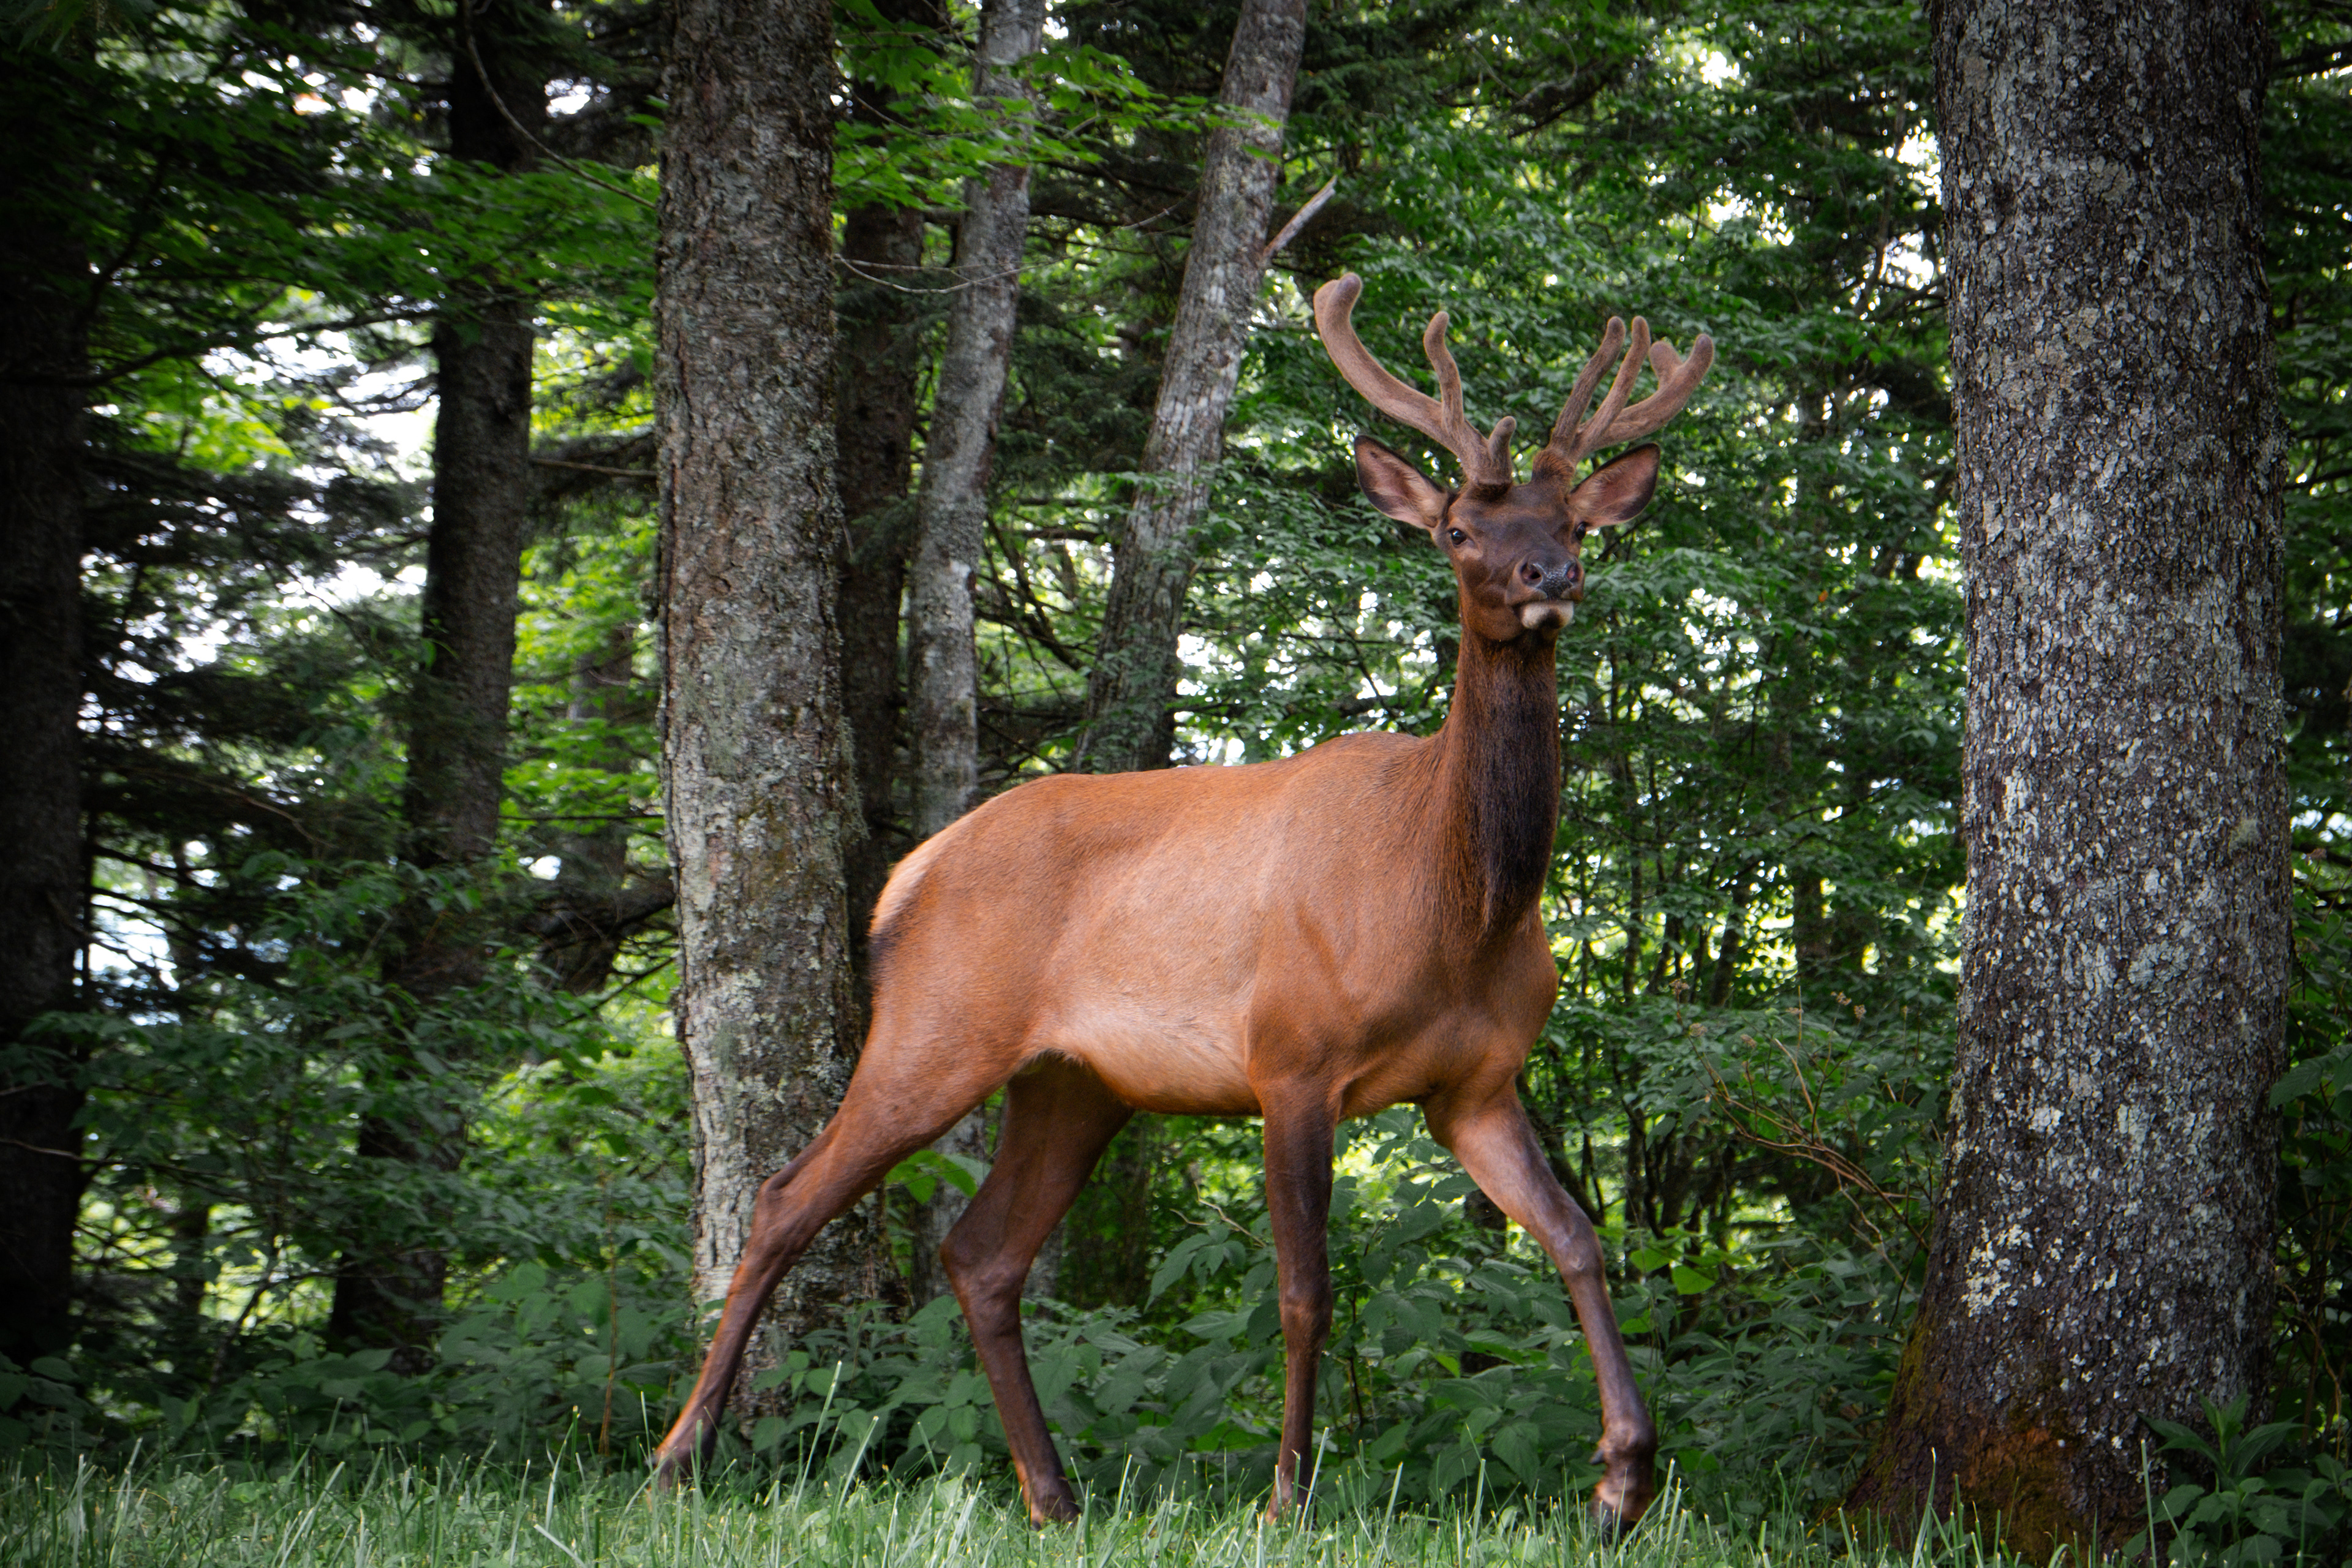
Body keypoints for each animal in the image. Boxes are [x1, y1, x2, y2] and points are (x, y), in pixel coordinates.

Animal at [650, 271, 1713, 1529]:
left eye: (1575, 524)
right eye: (1461, 529)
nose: (1550, 579)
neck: (1452, 907)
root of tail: (911, 875)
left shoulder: (1477, 1085)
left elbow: (1581, 1242)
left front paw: (1622, 1480)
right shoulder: (1291, 1055)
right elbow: (1304, 1288)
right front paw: (1288, 1494)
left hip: (1073, 1083)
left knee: (982, 1253)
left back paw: (1054, 1493)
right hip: (933, 1029)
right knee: (783, 1199)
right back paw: (678, 1458)